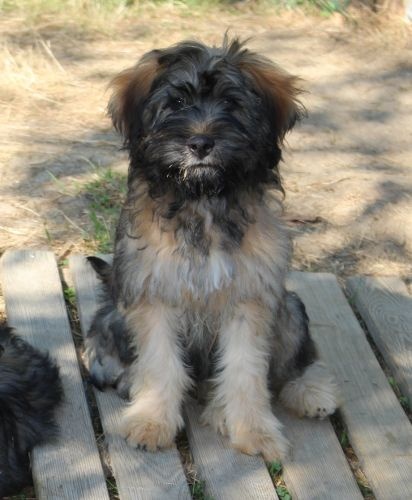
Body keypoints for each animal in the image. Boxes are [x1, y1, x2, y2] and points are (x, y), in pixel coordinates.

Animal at [85, 37, 338, 461]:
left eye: (232, 104)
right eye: (176, 104)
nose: (201, 143)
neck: (201, 198)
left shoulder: (250, 296)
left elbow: (246, 370)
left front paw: (254, 430)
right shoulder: (153, 294)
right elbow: (160, 363)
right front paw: (152, 421)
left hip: (288, 308)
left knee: (291, 366)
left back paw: (306, 393)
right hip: (116, 312)